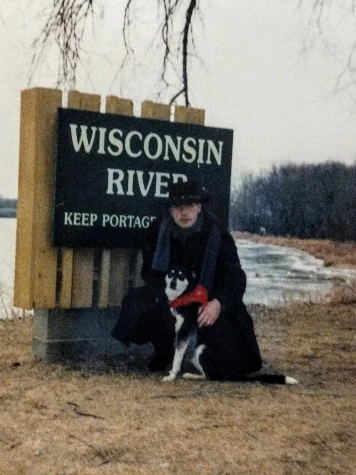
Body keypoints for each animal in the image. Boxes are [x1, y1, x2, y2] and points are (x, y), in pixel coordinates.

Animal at [163, 266, 298, 384]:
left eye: (181, 276)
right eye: (170, 274)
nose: (172, 284)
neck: (187, 293)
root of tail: (236, 374)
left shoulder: (183, 331)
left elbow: (177, 358)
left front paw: (171, 376)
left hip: (201, 349)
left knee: (211, 377)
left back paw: (191, 375)